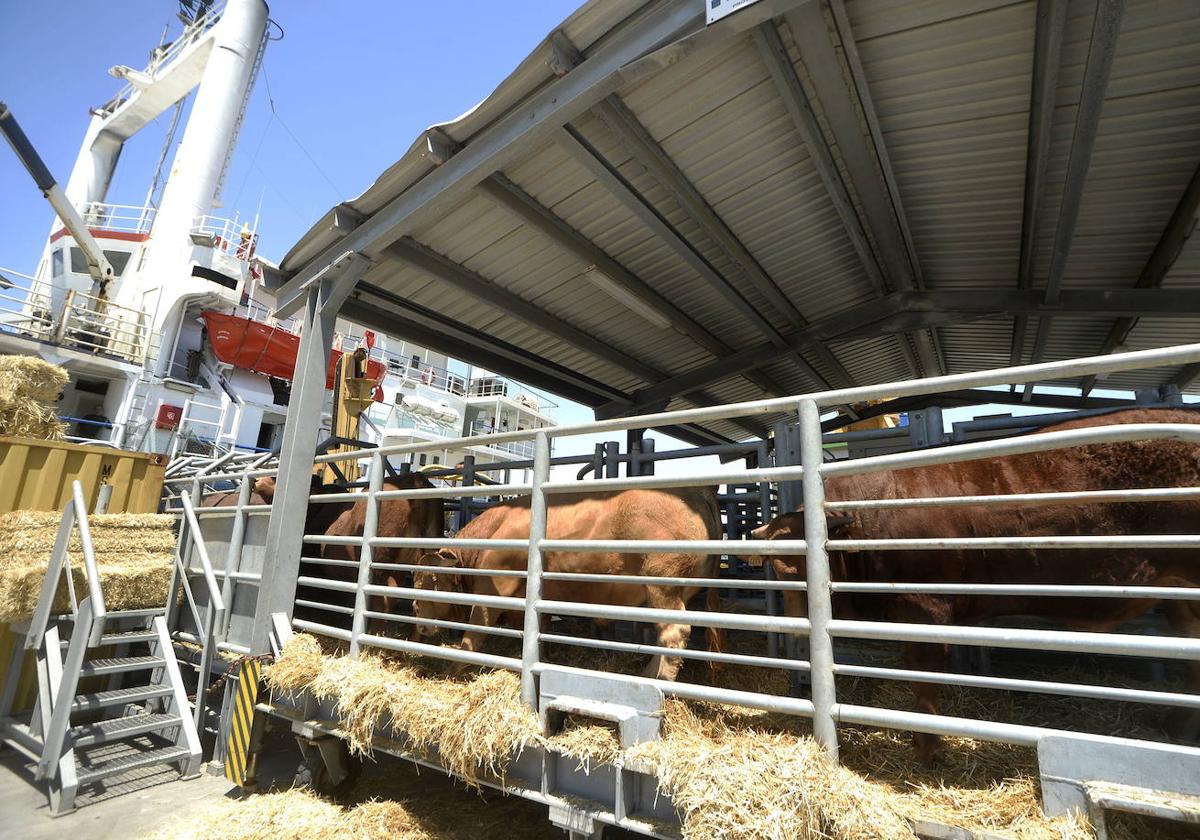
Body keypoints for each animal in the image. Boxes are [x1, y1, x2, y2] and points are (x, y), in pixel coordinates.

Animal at [412, 489, 720, 681]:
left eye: (429, 582)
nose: (415, 612)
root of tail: (697, 492)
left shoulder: (491, 590)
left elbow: (472, 636)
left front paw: (451, 669)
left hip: (662, 585)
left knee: (674, 634)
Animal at [753, 410, 1200, 758]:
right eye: (778, 566)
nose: (800, 626)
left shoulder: (925, 610)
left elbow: (925, 676)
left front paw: (928, 746)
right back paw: (1177, 722)